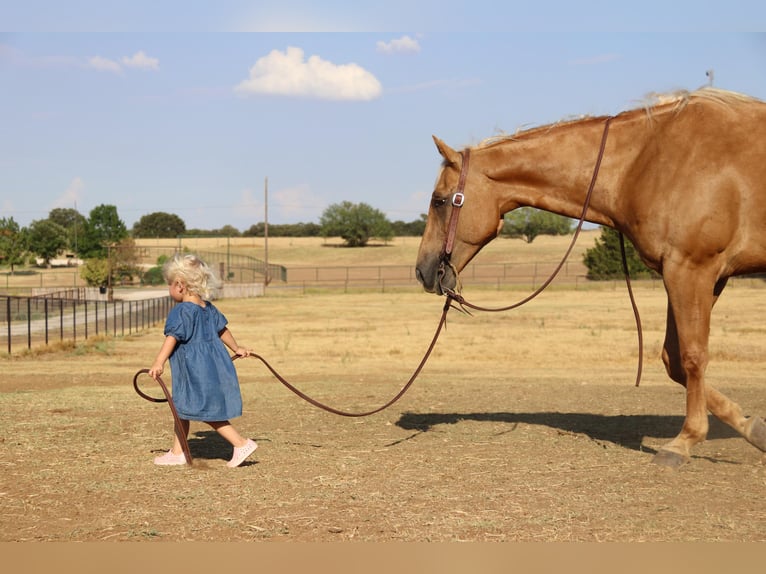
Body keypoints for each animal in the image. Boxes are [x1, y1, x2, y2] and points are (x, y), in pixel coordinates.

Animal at [416, 89, 766, 468]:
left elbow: (692, 356)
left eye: (439, 201)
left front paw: (685, 440)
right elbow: (674, 360)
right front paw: (754, 429)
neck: (648, 160)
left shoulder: (691, 270)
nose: (422, 270)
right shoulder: (699, 277)